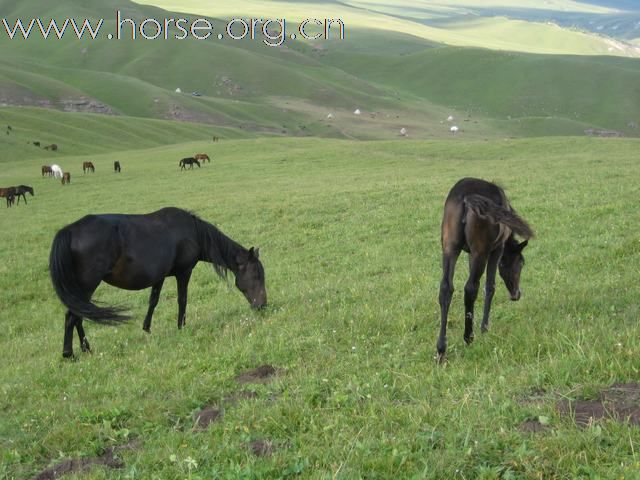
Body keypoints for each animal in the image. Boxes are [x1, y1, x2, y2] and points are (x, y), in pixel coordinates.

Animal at [50, 208, 268, 358]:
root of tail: (69, 231)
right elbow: (182, 300)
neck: (193, 232)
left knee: (78, 316)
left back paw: (86, 348)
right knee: (72, 317)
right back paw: (69, 353)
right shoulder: (184, 272)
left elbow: (153, 301)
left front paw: (147, 328)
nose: (263, 305)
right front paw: (181, 326)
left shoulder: (159, 277)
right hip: (87, 285)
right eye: (257, 275)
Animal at [436, 178, 536, 362]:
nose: (516, 294)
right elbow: (490, 286)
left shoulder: (469, 254)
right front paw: (484, 328)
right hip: (481, 253)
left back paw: (441, 349)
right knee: (471, 288)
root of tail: (467, 198)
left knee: (446, 288)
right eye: (521, 262)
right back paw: (469, 337)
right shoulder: (497, 249)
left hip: (450, 248)